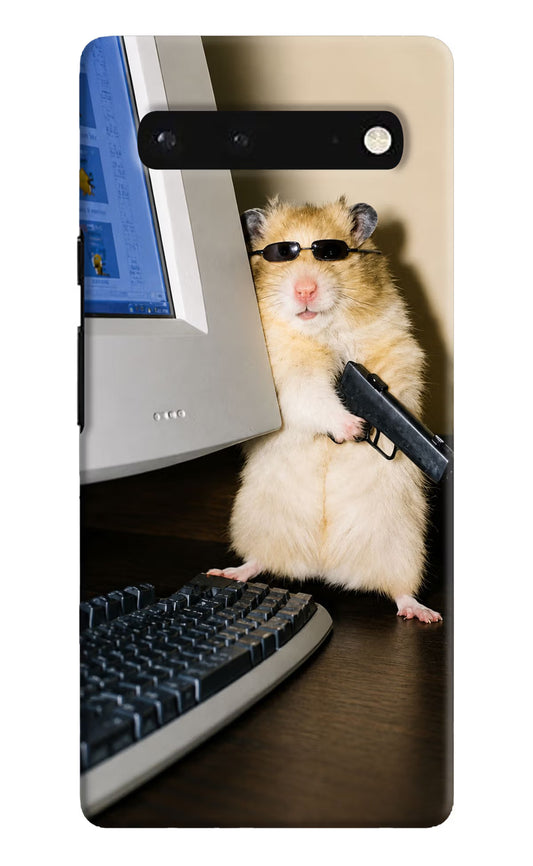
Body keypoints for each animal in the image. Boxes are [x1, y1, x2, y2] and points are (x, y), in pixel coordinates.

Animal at [208, 197, 442, 623]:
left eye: (331, 253)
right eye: (281, 254)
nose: (305, 289)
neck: (321, 330)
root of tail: (324, 567)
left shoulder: (398, 350)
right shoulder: (287, 378)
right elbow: (314, 398)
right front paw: (353, 428)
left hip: (403, 545)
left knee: (400, 590)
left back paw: (423, 613)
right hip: (257, 522)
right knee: (259, 561)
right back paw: (228, 572)